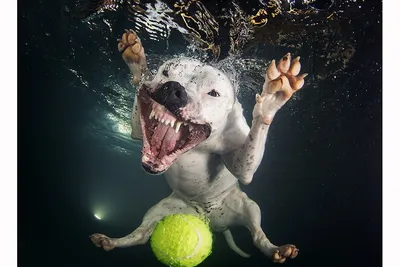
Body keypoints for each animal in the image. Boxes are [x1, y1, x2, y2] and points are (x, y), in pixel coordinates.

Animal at [91, 29, 306, 264]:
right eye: (166, 72)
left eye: (213, 93)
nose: (174, 88)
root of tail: (207, 218)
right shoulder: (138, 131)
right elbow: (140, 103)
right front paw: (137, 64)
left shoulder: (244, 167)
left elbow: (247, 162)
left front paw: (272, 99)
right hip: (160, 210)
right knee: (141, 234)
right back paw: (112, 242)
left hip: (249, 207)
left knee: (257, 234)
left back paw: (276, 249)